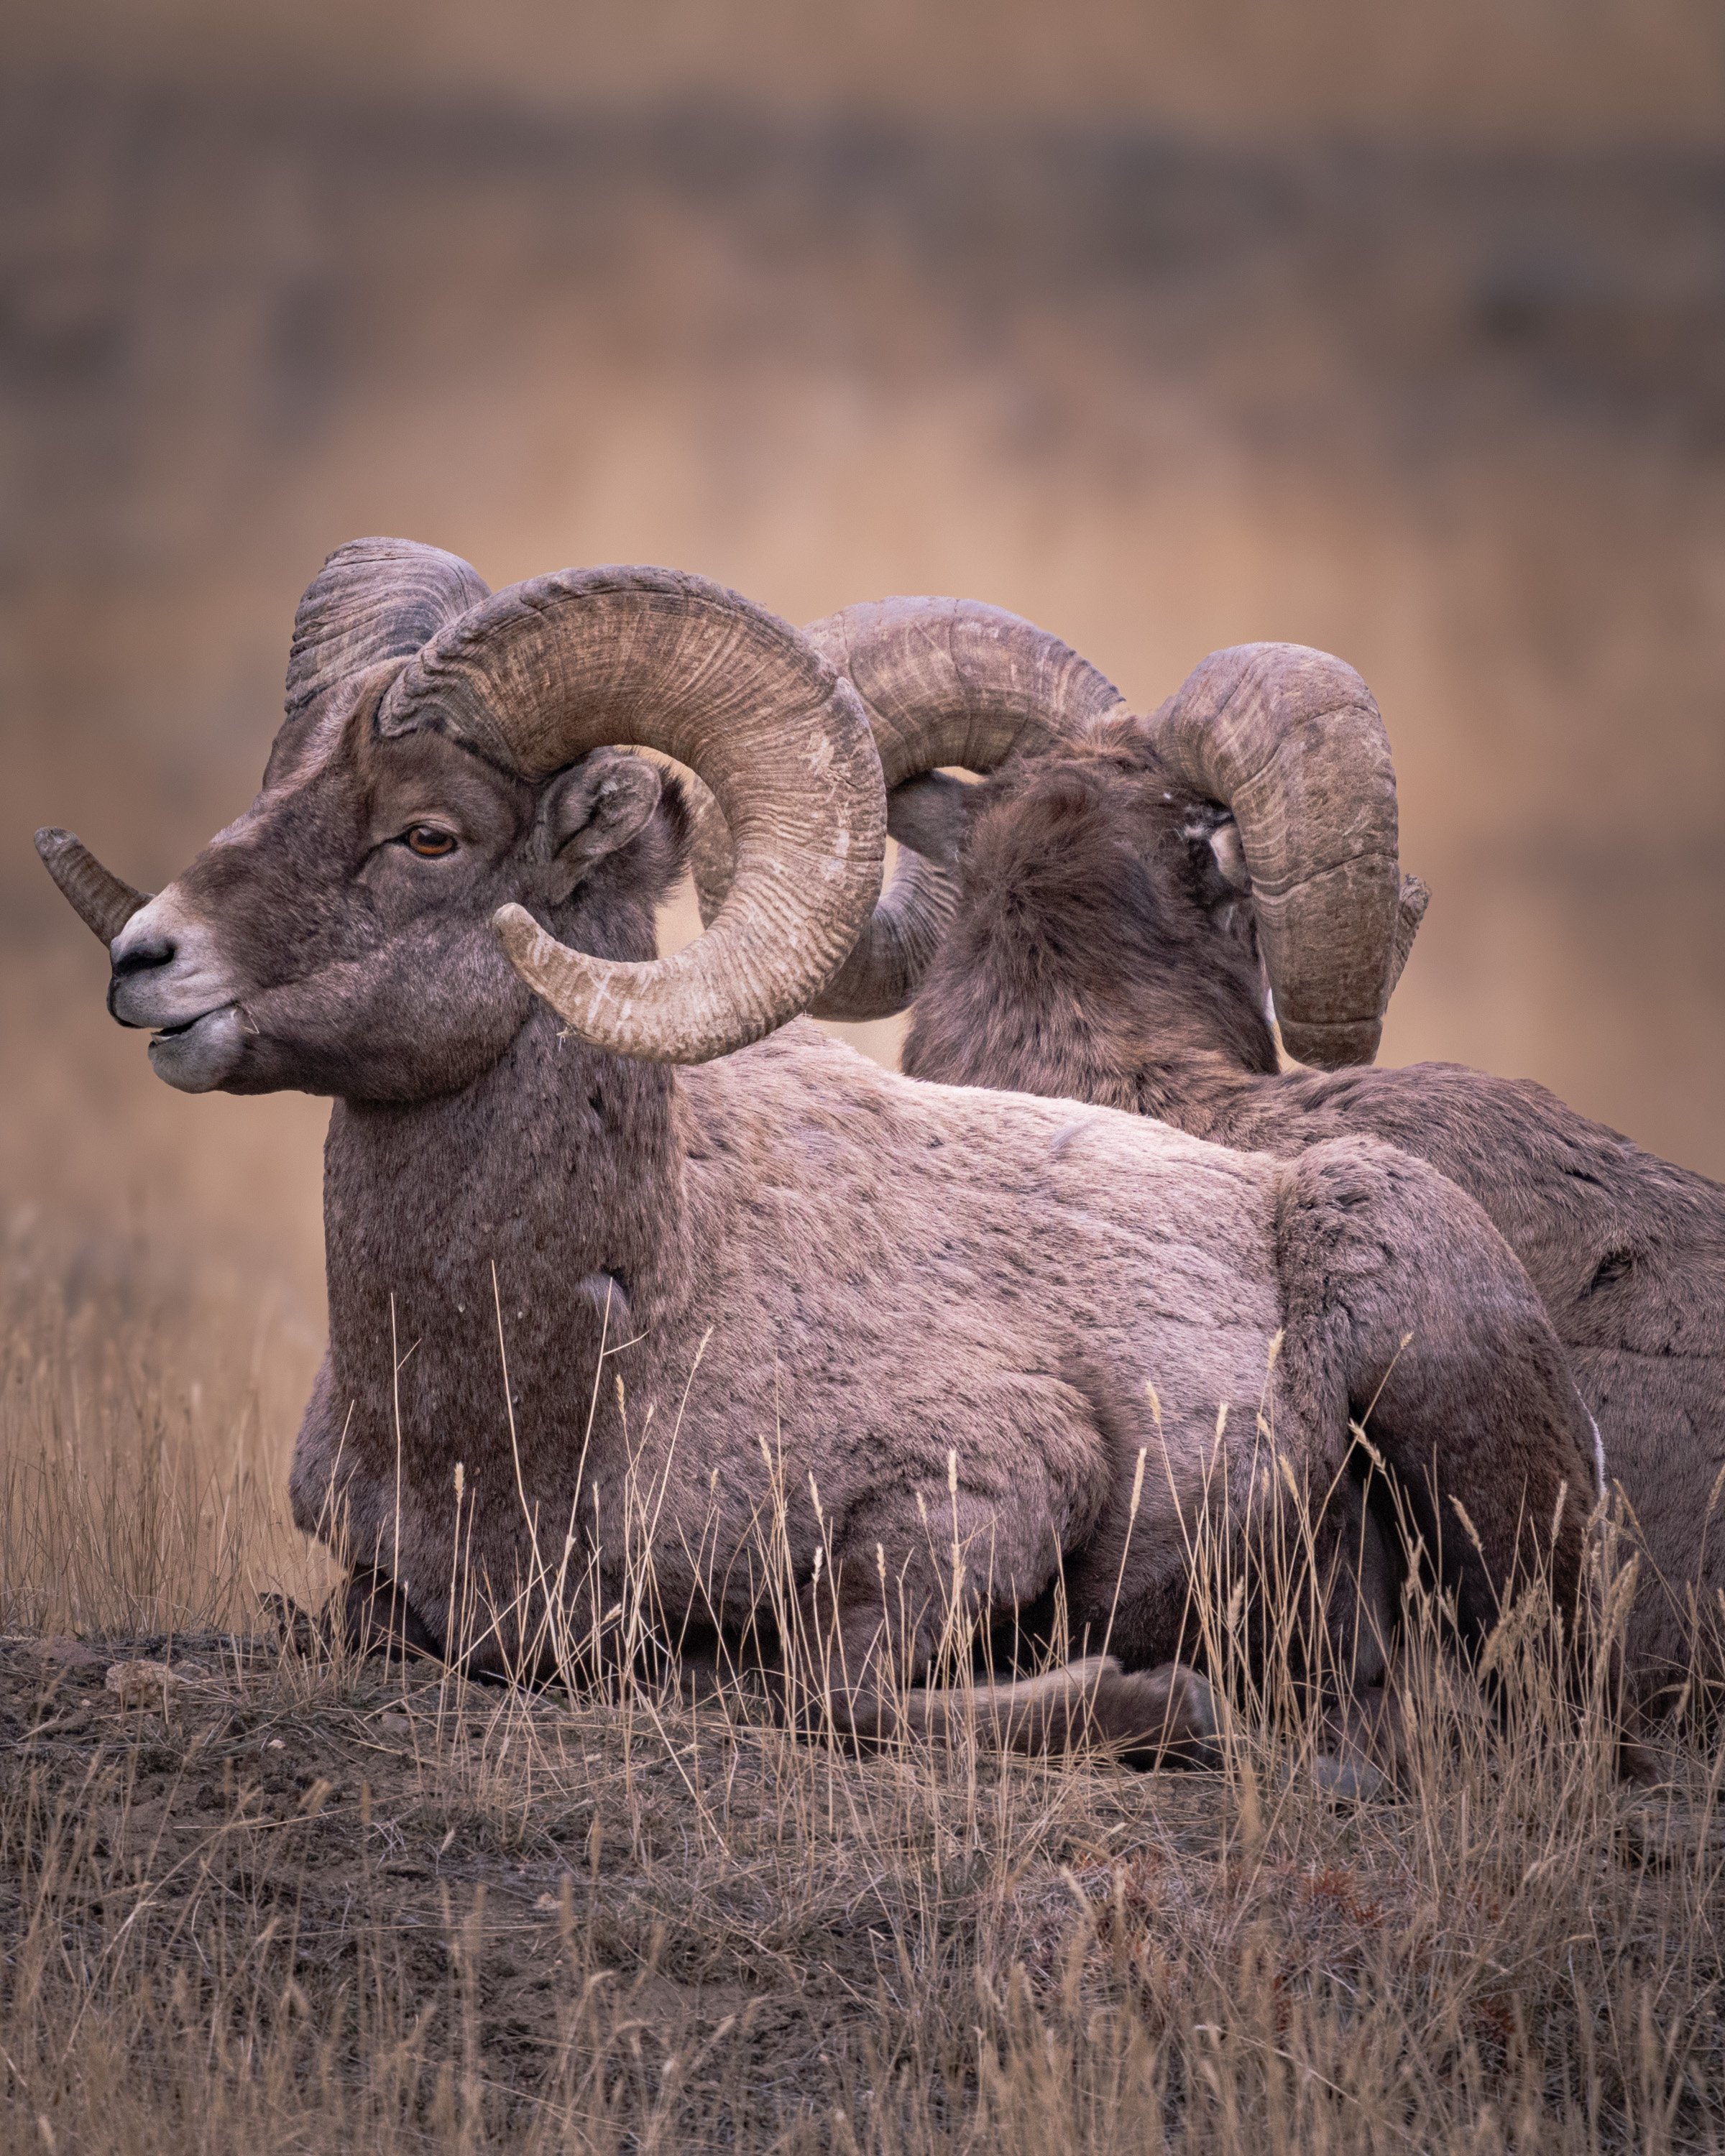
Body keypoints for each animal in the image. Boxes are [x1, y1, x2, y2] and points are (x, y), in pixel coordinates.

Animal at [36, 539, 1613, 1768]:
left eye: (429, 835)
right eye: (277, 782)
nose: (148, 962)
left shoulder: (985, 1491)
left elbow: (824, 1693)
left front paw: (1159, 1703)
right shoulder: (379, 1576)